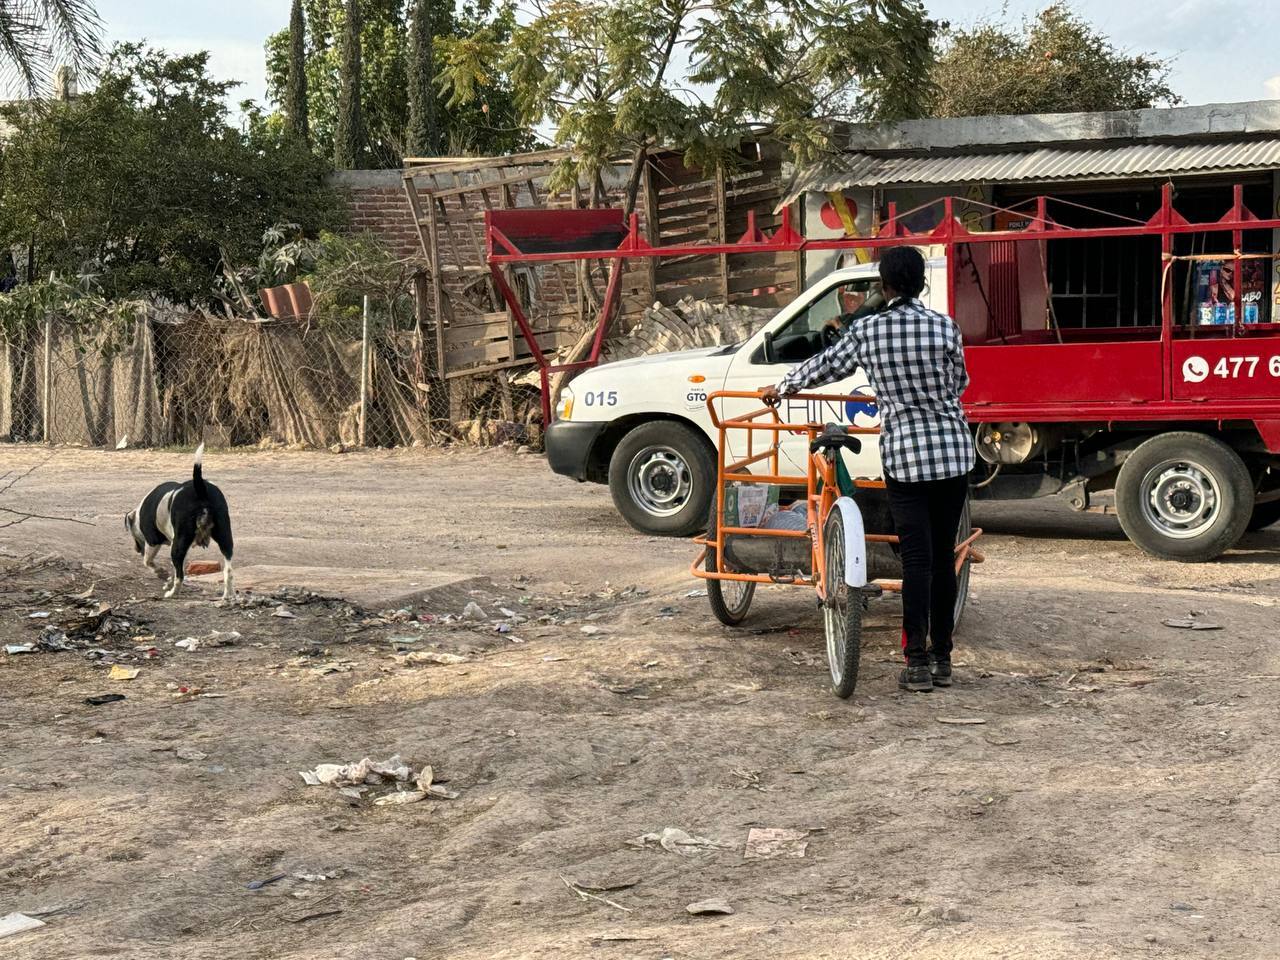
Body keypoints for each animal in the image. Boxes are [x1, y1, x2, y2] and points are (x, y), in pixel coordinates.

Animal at [126, 445, 235, 601]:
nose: (136, 549)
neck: (139, 514)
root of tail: (199, 488)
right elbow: (176, 569)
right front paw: (167, 579)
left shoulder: (153, 542)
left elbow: (148, 562)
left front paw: (162, 574)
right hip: (224, 538)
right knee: (228, 570)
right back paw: (227, 595)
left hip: (178, 545)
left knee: (180, 577)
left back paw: (173, 593)